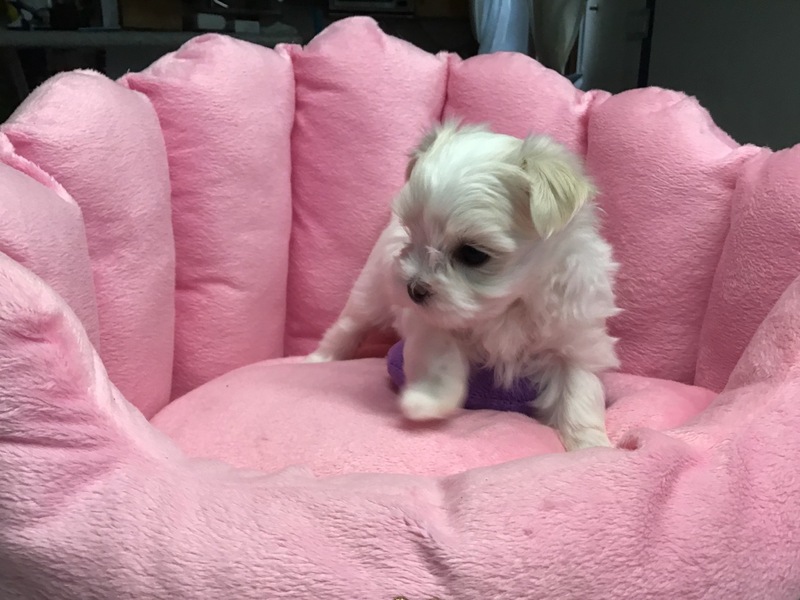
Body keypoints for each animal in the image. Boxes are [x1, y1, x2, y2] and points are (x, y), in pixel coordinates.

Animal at [308, 121, 620, 451]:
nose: (414, 289)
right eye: (412, 234)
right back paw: (319, 358)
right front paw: (426, 402)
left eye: (472, 254)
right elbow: (442, 360)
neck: (513, 302)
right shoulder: (430, 322)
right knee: (348, 325)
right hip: (373, 290)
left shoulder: (575, 335)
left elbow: (579, 389)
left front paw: (591, 446)